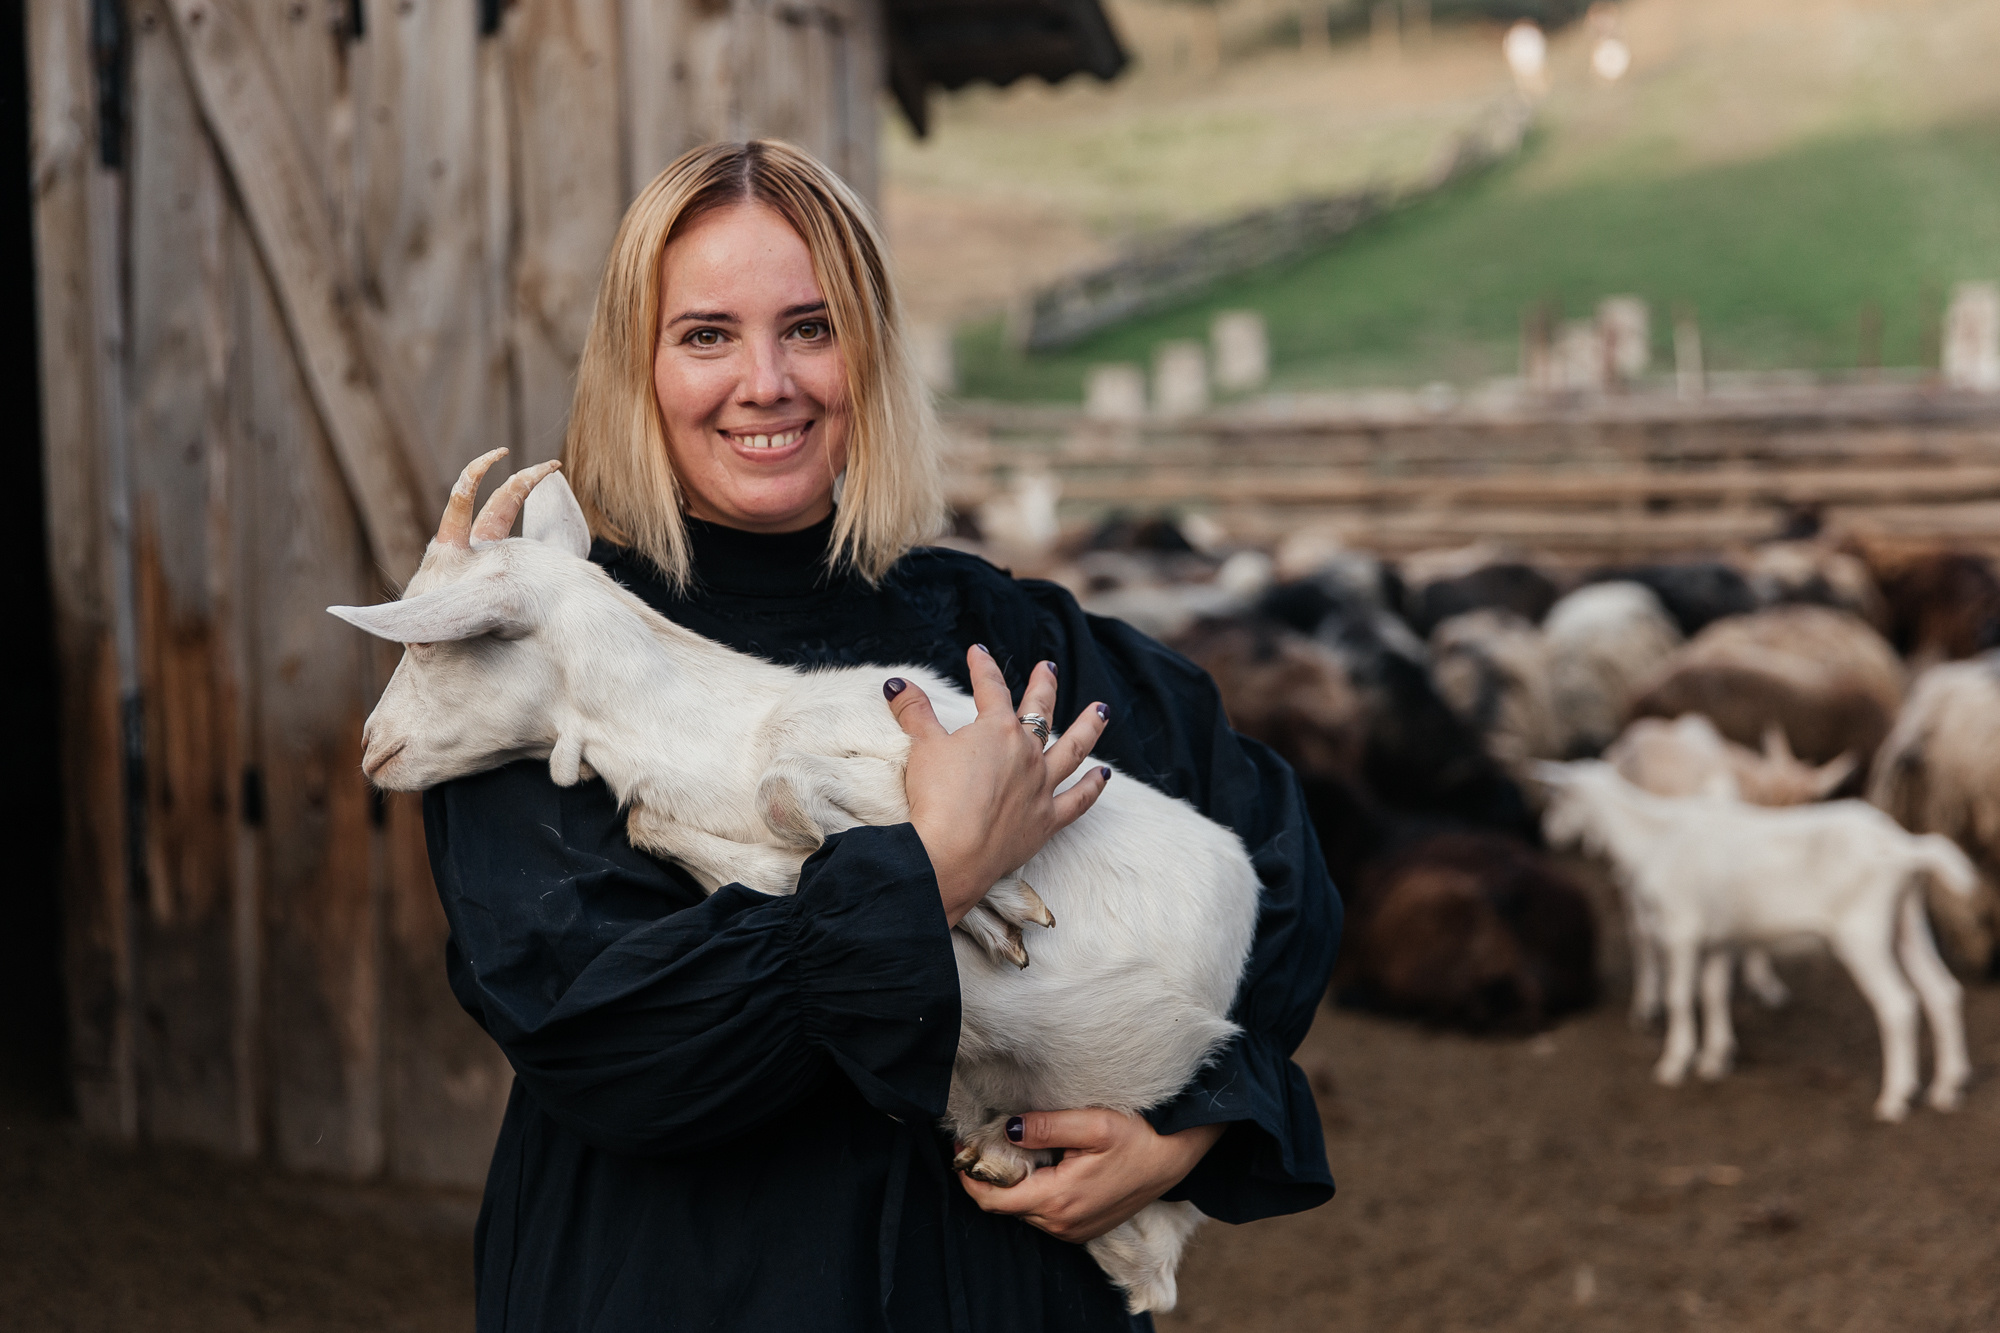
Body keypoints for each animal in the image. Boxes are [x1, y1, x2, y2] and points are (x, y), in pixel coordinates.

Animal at [1537, 762, 1975, 1122]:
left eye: (1558, 798)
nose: (1550, 836)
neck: (1653, 837)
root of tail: (1904, 847)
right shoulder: (1717, 938)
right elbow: (1712, 992)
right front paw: (1714, 1060)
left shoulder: (1681, 930)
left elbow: (1680, 996)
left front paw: (1674, 1063)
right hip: (1907, 923)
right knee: (1942, 992)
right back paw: (1947, 1087)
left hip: (1862, 933)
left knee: (1898, 1005)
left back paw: (1895, 1099)